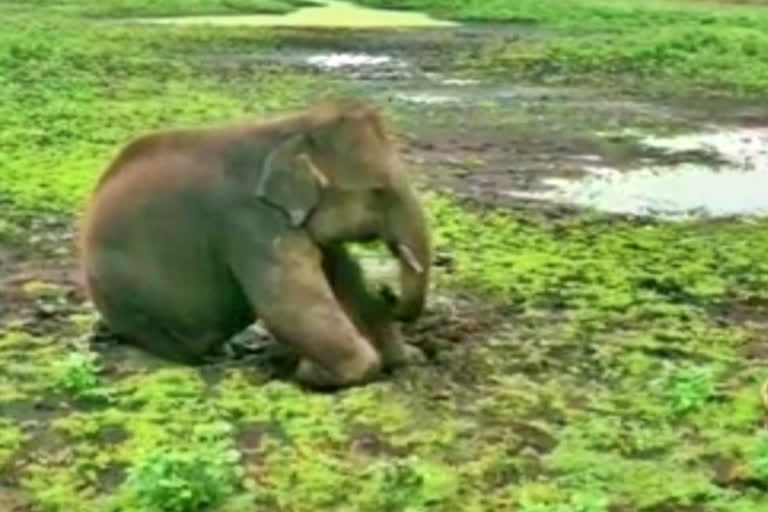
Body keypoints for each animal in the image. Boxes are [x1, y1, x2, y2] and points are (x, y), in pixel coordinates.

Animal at [77, 100, 432, 388]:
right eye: (379, 191)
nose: (388, 292)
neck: (294, 126)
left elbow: (345, 277)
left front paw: (406, 359)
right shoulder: (250, 221)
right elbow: (287, 303)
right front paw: (311, 373)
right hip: (124, 293)